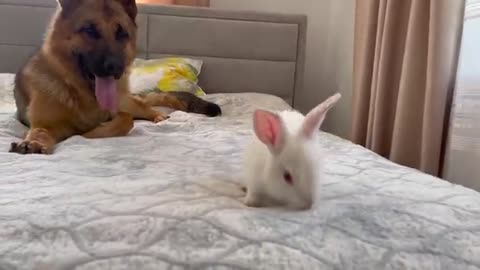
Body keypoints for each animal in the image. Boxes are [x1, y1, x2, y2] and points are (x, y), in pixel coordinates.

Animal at [9, 0, 220, 155]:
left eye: (122, 33)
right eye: (89, 30)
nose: (116, 67)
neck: (82, 96)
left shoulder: (117, 112)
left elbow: (126, 120)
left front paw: (90, 132)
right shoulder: (44, 124)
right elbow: (40, 132)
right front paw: (35, 142)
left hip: (128, 102)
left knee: (144, 108)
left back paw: (157, 115)